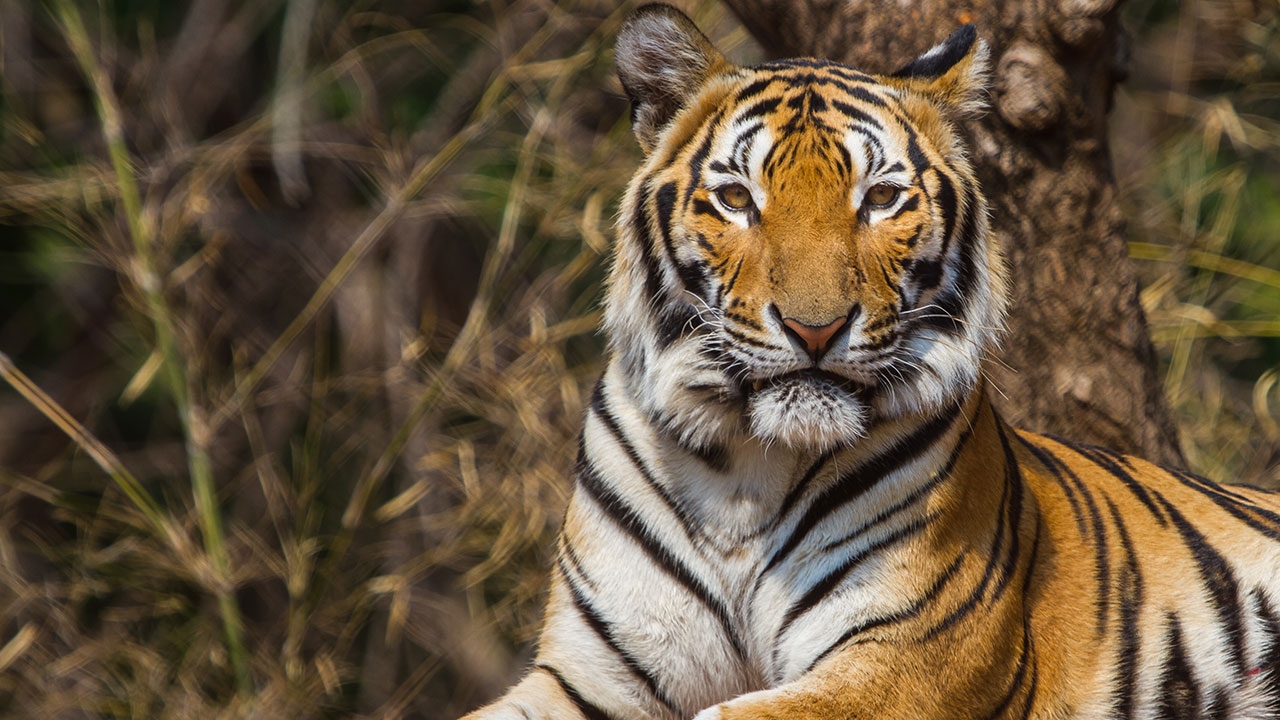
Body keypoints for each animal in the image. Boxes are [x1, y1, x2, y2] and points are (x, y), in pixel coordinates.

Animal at [460, 5, 1280, 717]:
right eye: (737, 199)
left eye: (881, 199)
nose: (815, 329)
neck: (744, 471)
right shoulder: (588, 678)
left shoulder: (911, 659)